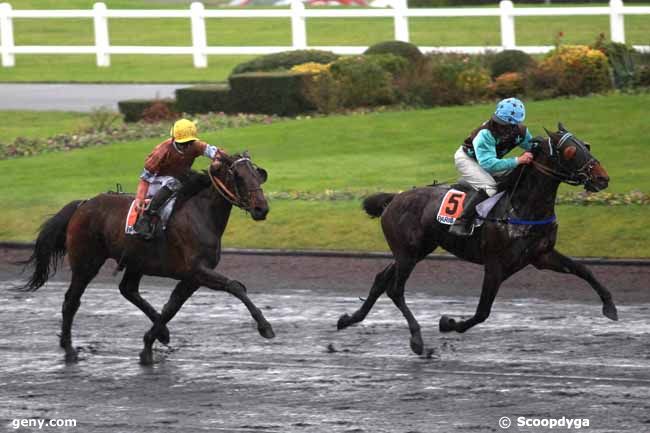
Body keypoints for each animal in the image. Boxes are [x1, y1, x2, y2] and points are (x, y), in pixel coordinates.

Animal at [20, 154, 274, 362]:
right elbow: (235, 286)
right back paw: (69, 349)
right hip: (87, 262)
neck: (199, 213)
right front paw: (265, 327)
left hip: (136, 261)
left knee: (128, 289)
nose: (261, 209)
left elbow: (172, 307)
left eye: (257, 175)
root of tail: (82, 204)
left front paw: (150, 344)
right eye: (238, 177)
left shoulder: (193, 277)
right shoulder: (198, 270)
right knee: (72, 301)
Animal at [336, 124, 616, 354]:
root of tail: (395, 198)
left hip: (415, 250)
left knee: (381, 279)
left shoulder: (541, 255)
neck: (520, 208)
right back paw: (417, 341)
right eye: (570, 151)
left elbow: (583, 269)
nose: (602, 178)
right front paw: (448, 323)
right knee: (395, 289)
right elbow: (482, 312)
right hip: (408, 254)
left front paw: (610, 307)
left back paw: (349, 319)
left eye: (586, 145)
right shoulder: (495, 265)